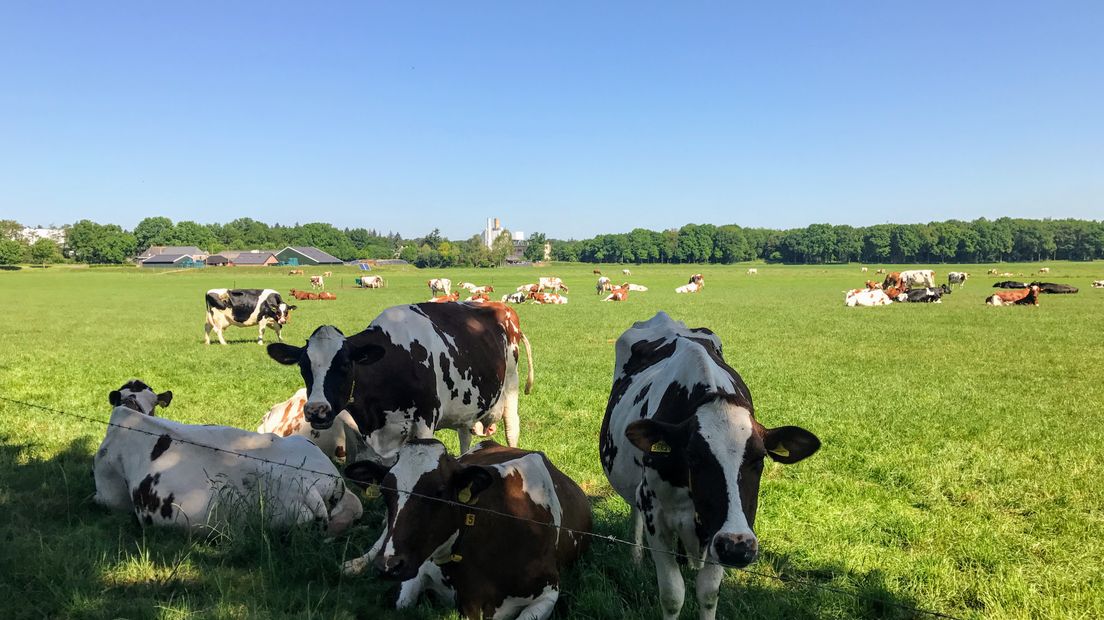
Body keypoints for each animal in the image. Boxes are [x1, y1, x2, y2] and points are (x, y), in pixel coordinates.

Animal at [264, 300, 532, 463]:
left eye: (345, 365)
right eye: (303, 367)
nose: (316, 410)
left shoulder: (425, 420)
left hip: (511, 388)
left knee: (512, 429)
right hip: (465, 408)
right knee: (465, 435)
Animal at [342, 436, 591, 613]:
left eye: (439, 493)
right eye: (386, 493)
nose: (389, 566)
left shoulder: (548, 593)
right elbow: (403, 603)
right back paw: (355, 564)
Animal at [596, 313, 821, 617]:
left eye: (759, 458)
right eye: (693, 456)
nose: (737, 548)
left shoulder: (718, 530)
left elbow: (708, 592)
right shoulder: (657, 515)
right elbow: (672, 594)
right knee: (635, 512)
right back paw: (635, 558)